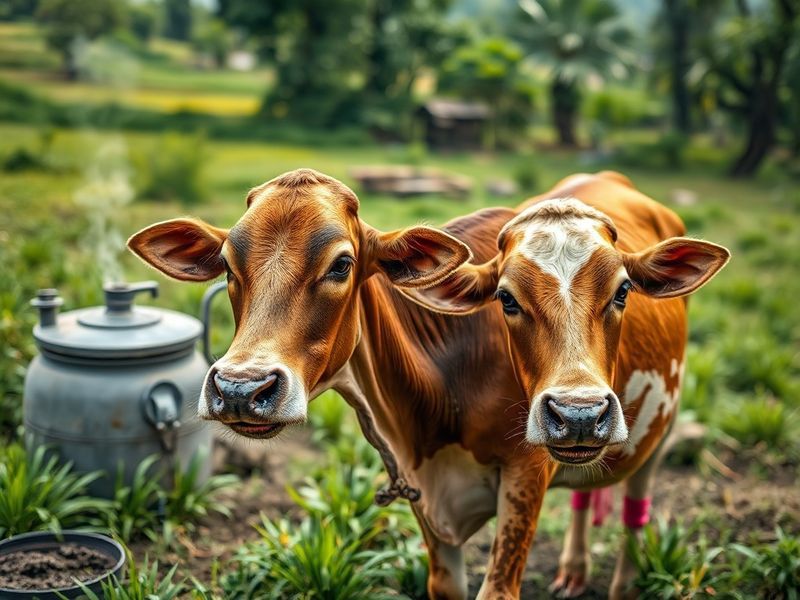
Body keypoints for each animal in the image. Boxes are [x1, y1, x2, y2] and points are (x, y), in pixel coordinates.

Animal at [407, 171, 730, 598]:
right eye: (505, 298)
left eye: (623, 291)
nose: (580, 415)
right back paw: (575, 567)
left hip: (664, 418)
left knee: (637, 498)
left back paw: (625, 584)